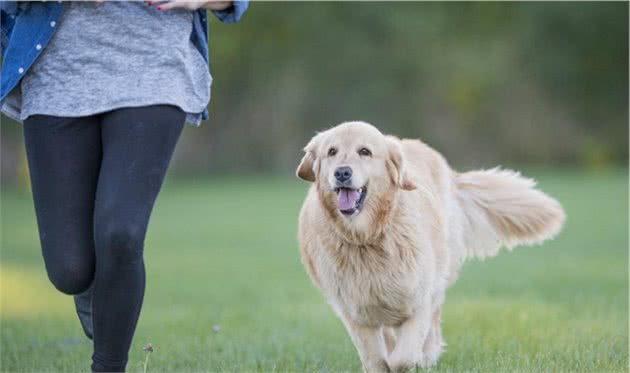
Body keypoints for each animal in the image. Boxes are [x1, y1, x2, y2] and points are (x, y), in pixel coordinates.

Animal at [296, 121, 568, 370]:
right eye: (331, 152)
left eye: (365, 151)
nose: (342, 172)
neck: (367, 237)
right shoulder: (355, 313)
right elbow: (376, 359)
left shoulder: (419, 299)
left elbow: (403, 358)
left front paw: (416, 360)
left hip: (440, 276)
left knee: (432, 324)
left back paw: (427, 356)